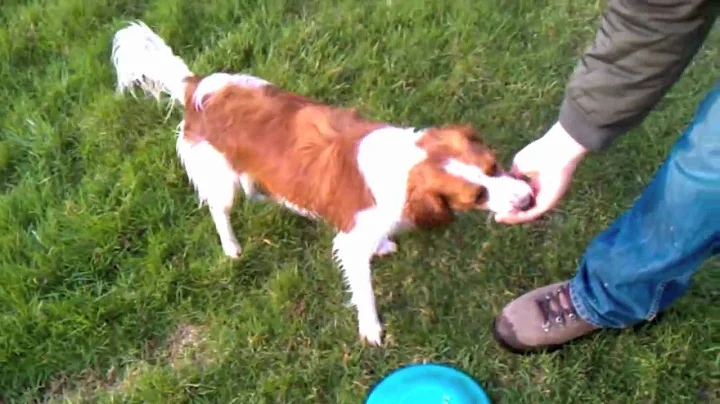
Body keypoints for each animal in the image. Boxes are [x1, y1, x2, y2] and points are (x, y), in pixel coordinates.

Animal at [109, 21, 532, 344]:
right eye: (477, 195)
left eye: (495, 166)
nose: (528, 199)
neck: (401, 164)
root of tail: (196, 85)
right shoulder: (350, 244)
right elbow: (364, 293)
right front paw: (371, 331)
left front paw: (383, 246)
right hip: (220, 181)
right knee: (219, 210)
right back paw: (231, 246)